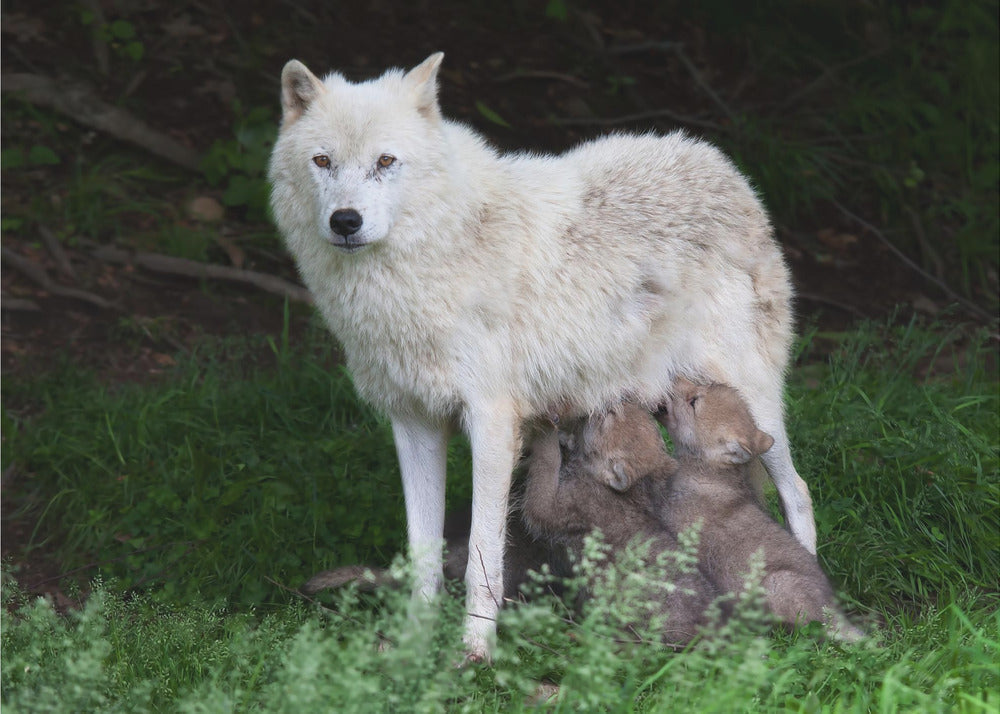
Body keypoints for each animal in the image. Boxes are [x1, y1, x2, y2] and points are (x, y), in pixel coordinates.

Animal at [268, 52, 812, 659]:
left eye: (386, 161)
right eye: (323, 161)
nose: (345, 221)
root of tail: (721, 166)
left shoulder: (491, 423)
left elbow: (483, 557)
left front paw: (474, 654)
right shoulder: (413, 423)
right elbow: (422, 556)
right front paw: (414, 648)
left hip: (755, 407)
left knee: (798, 492)